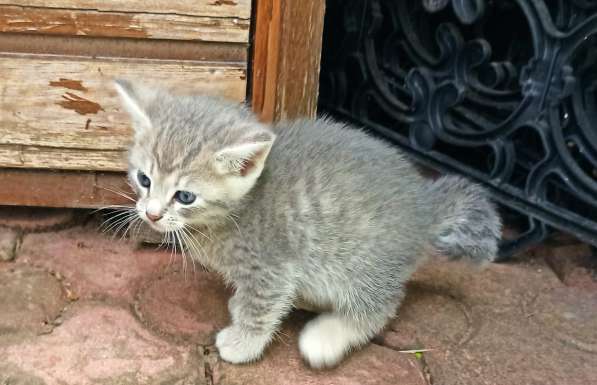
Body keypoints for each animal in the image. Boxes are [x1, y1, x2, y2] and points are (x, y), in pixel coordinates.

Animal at [114, 79, 500, 368]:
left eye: (185, 197)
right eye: (144, 179)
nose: (151, 214)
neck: (241, 208)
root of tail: (425, 205)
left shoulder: (271, 266)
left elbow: (261, 306)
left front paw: (243, 342)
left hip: (363, 264)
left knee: (379, 307)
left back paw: (326, 338)